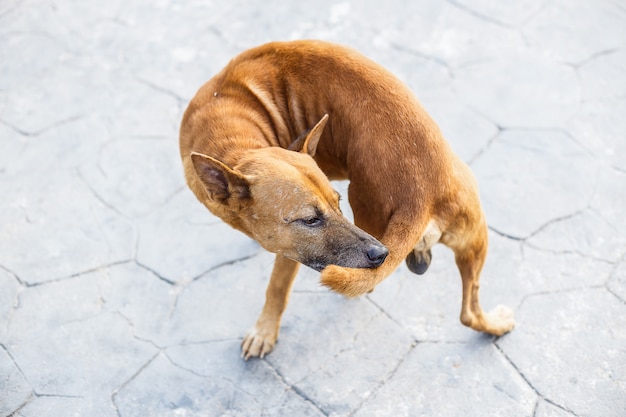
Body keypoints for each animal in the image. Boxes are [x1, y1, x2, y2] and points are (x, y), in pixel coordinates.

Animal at [179, 39, 512, 358]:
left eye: (337, 204)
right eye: (311, 219)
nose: (381, 254)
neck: (233, 138)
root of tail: (421, 192)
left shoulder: (290, 253)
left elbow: (276, 288)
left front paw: (264, 331)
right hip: (471, 239)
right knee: (469, 312)